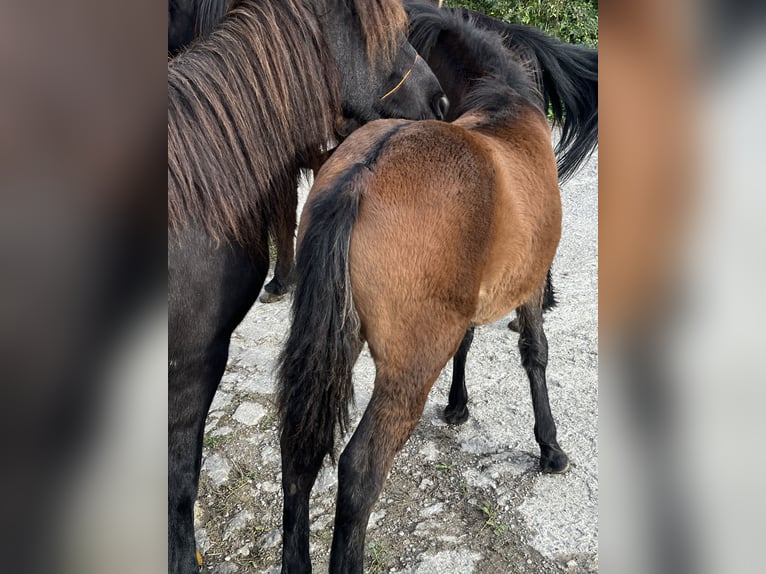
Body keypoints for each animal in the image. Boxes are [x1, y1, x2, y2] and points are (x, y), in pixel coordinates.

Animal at [277, 6, 573, 572]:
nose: (432, 101)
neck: (502, 105)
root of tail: (362, 176)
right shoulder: (527, 287)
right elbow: (535, 354)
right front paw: (549, 447)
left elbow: (468, 342)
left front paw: (457, 406)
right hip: (408, 370)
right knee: (360, 469)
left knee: (298, 455)